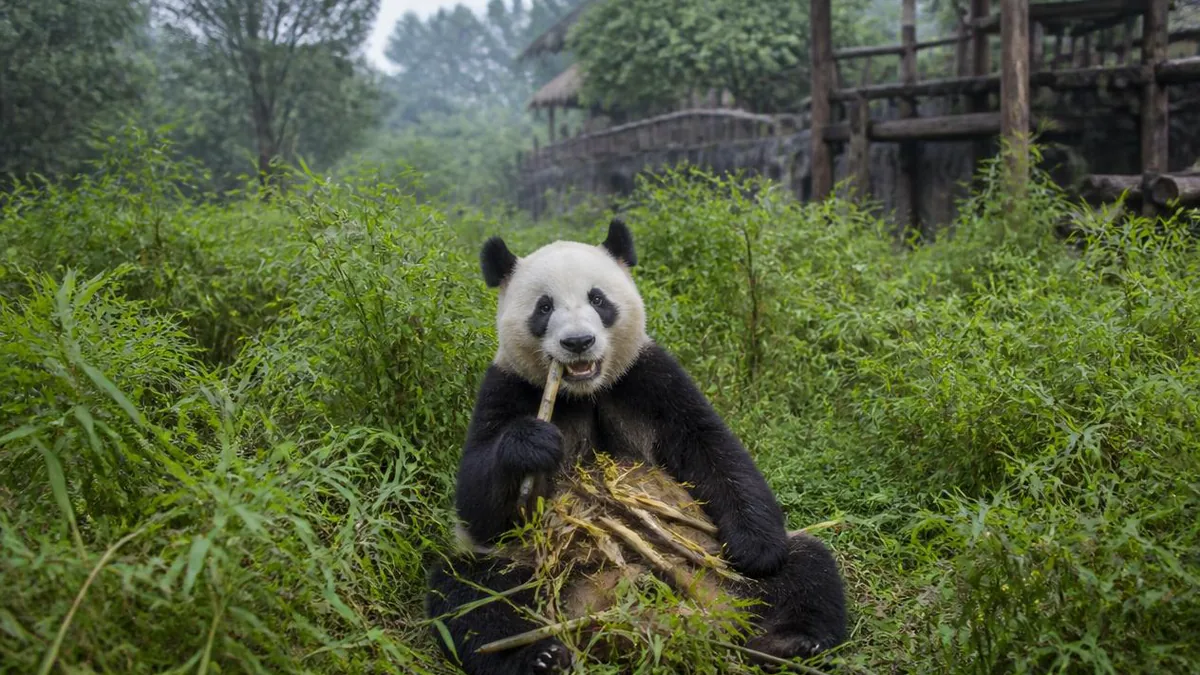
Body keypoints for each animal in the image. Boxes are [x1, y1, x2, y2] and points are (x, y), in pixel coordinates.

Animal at [425, 218, 848, 675]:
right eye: (544, 307)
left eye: (597, 299)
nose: (578, 342)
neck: (584, 391)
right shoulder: (507, 387)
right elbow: (479, 506)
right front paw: (531, 445)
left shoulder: (648, 378)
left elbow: (712, 448)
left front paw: (757, 548)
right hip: (528, 571)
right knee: (470, 595)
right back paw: (540, 657)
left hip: (717, 566)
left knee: (808, 566)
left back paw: (788, 643)